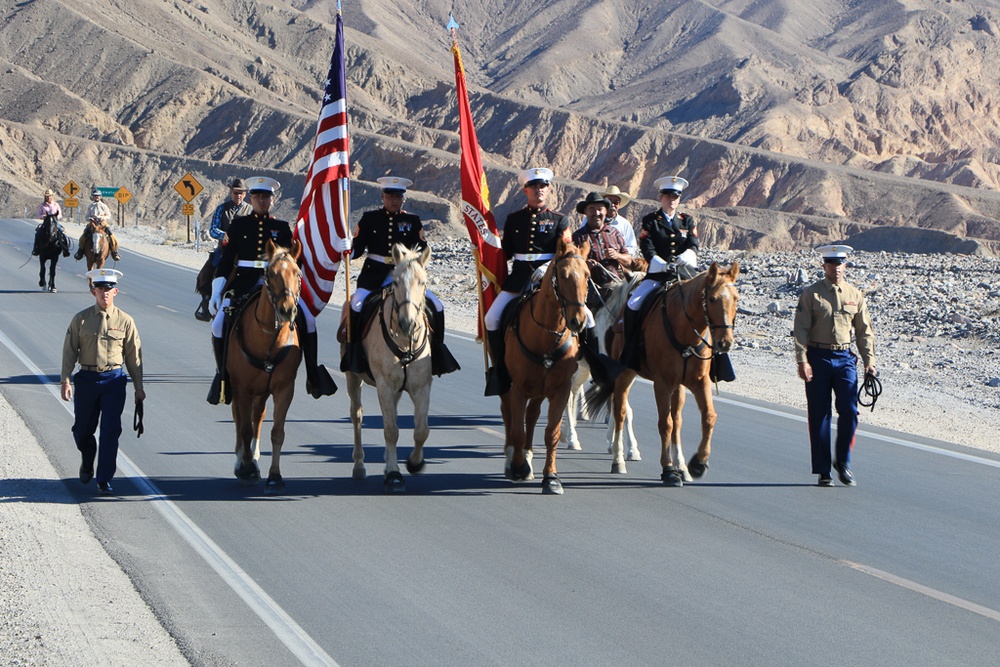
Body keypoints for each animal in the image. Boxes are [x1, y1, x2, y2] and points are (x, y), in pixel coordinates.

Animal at [229, 240, 302, 496]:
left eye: (297, 273)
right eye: (271, 274)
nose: (287, 310)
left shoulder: (285, 389)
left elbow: (277, 432)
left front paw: (274, 477)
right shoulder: (241, 388)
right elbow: (244, 428)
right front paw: (247, 469)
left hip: (261, 392)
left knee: (257, 416)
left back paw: (254, 456)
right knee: (240, 420)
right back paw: (242, 460)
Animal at [346, 243, 432, 494]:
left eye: (423, 282)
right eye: (395, 282)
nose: (407, 323)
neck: (404, 342)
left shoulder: (421, 386)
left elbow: (421, 430)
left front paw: (414, 463)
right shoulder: (384, 385)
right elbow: (391, 430)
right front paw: (394, 475)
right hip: (353, 378)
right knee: (357, 416)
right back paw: (359, 465)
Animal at [496, 237, 588, 494]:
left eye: (587, 274)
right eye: (564, 275)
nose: (578, 321)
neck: (546, 334)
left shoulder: (560, 390)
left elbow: (551, 433)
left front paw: (551, 478)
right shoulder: (518, 388)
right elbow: (517, 430)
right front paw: (517, 467)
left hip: (538, 390)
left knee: (532, 415)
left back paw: (527, 456)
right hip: (507, 384)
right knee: (509, 414)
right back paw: (512, 458)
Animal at [584, 264, 744, 488]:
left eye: (736, 298)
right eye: (712, 299)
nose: (725, 342)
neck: (685, 330)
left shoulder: (697, 383)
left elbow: (706, 417)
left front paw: (695, 464)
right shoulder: (662, 384)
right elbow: (665, 423)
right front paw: (668, 469)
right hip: (625, 374)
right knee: (620, 411)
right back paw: (618, 459)